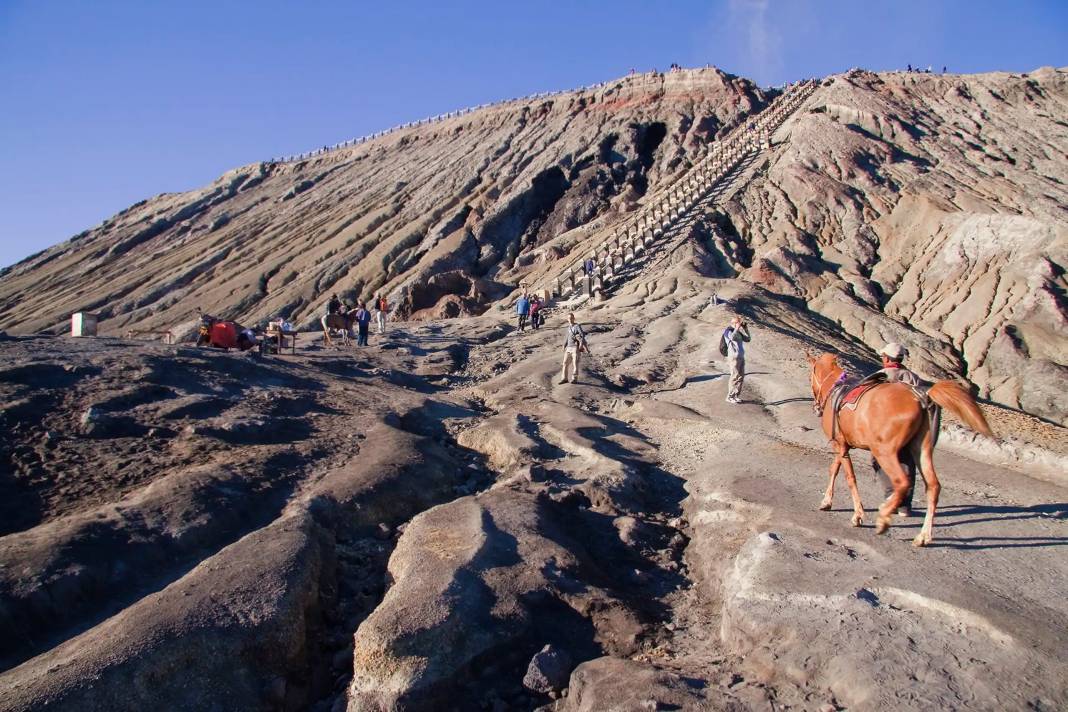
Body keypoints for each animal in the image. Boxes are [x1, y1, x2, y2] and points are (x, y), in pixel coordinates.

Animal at [807, 354, 991, 550]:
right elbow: (834, 469)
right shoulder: (841, 445)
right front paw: (827, 502)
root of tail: (921, 397)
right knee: (933, 486)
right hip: (921, 449)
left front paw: (857, 515)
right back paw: (922, 536)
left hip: (884, 451)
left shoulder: (840, 444)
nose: (816, 407)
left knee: (902, 481)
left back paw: (884, 518)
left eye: (811, 377)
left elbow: (849, 477)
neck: (836, 389)